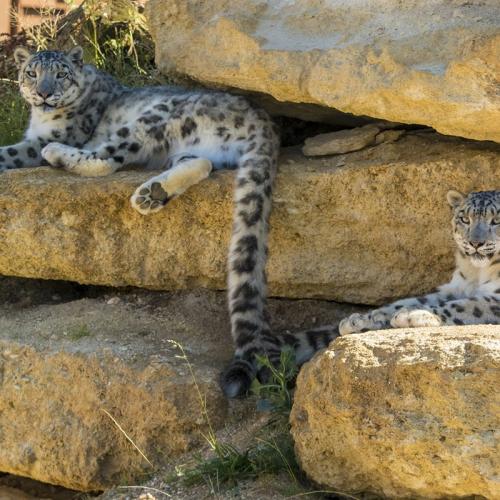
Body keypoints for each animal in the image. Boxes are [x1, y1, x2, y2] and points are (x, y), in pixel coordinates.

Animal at [0, 47, 282, 398]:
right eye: (32, 73)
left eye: (61, 74)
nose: (44, 93)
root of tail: (265, 121)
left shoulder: (43, 140)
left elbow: (12, 152)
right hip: (196, 149)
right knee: (201, 163)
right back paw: (152, 194)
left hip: (153, 119)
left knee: (106, 158)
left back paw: (60, 154)